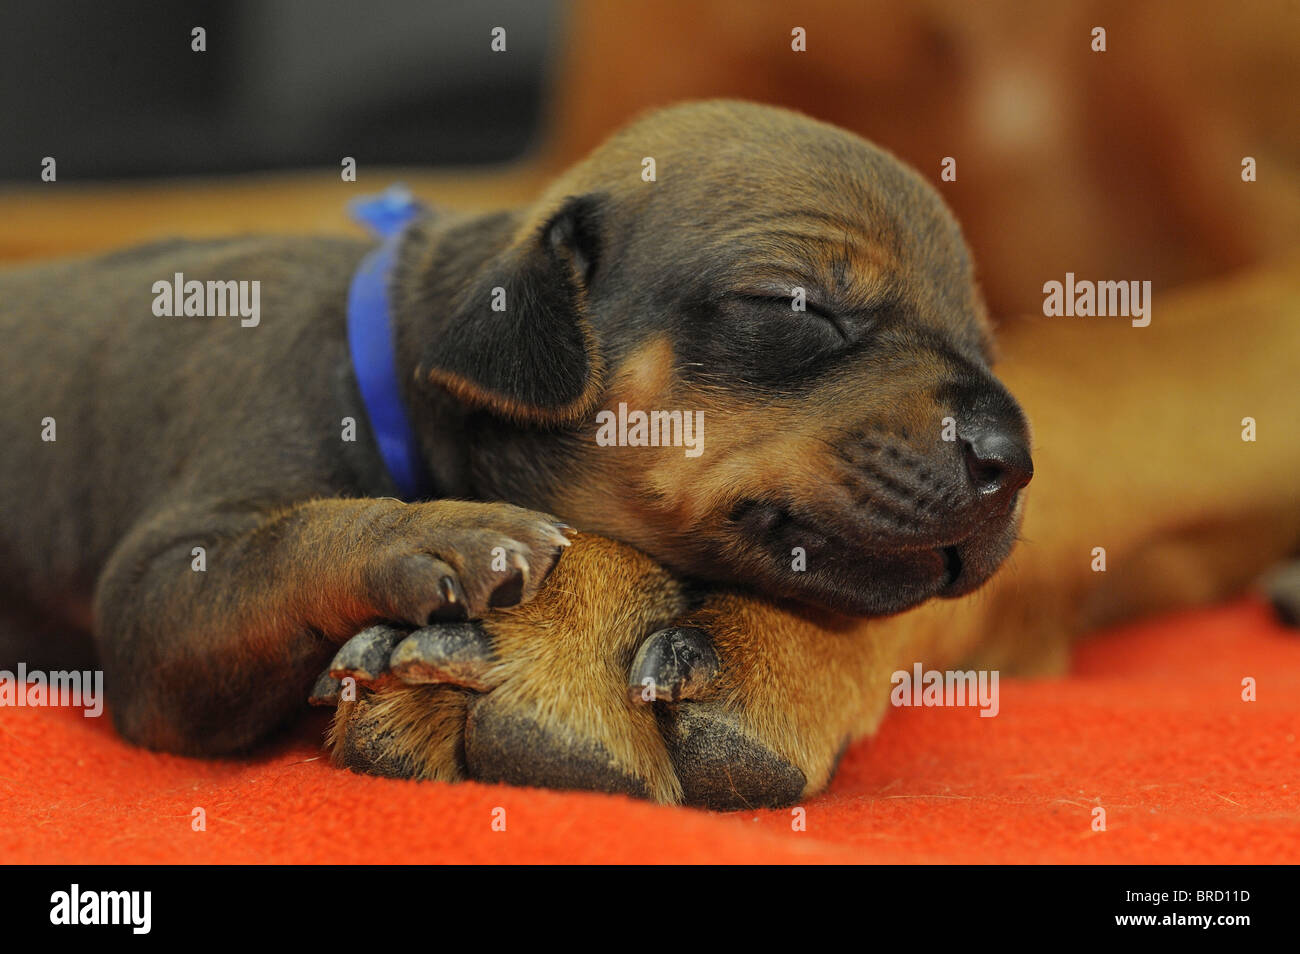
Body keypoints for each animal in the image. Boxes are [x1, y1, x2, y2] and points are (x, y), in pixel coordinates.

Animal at [0, 102, 1294, 805]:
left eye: (982, 337)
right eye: (796, 306)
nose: (1014, 456)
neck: (406, 364)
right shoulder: (167, 598)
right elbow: (283, 541)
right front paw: (441, 536)